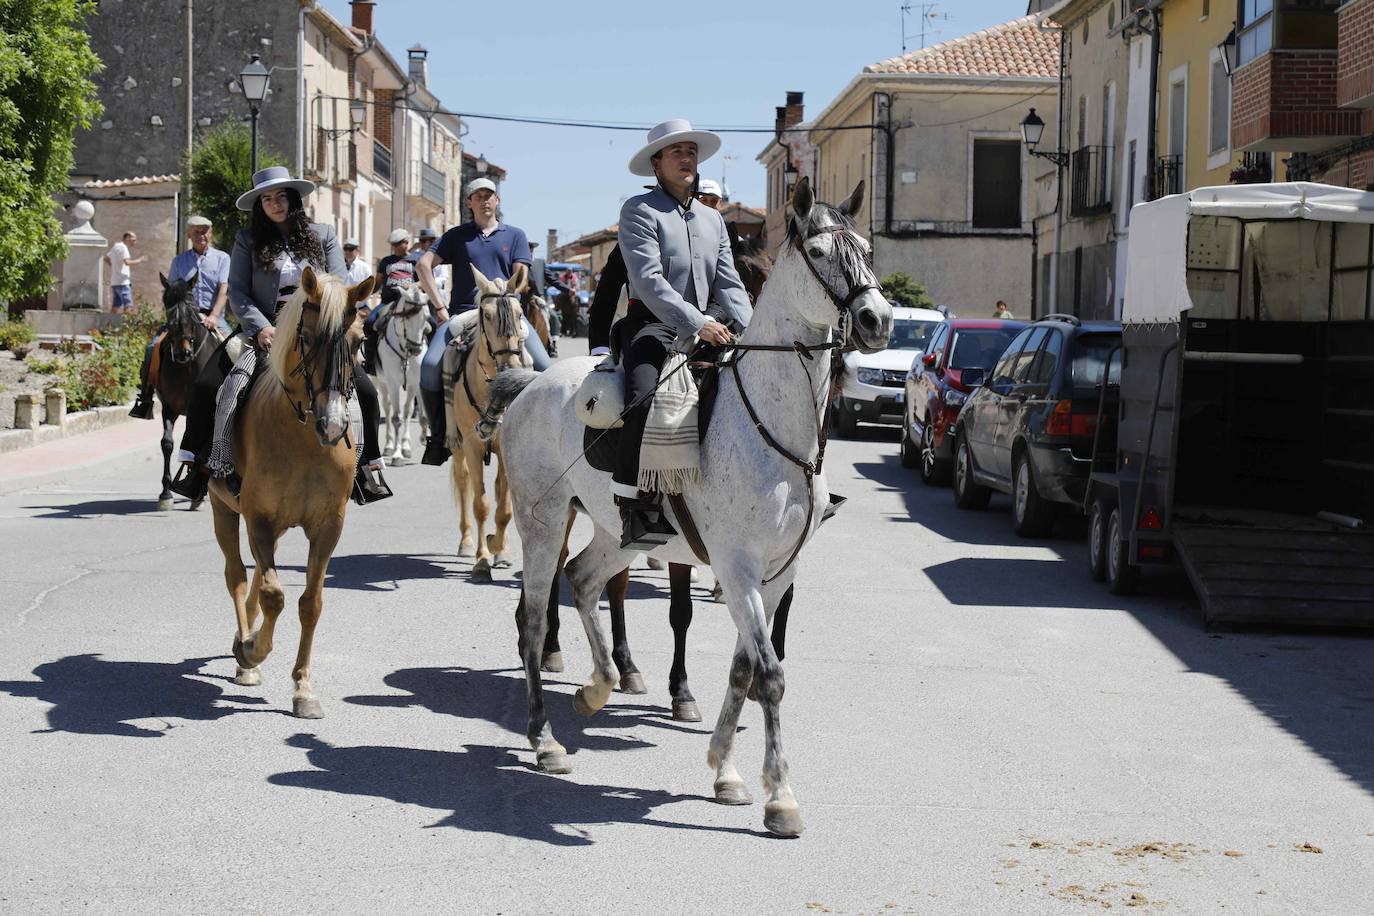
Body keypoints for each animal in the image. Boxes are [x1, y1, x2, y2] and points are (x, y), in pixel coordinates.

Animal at [154, 271, 218, 516]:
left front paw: (198, 494)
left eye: (191, 308)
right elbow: (167, 443)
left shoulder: (195, 409)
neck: (185, 367)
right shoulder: (168, 407)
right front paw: (165, 493)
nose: (183, 352)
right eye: (168, 307)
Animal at [207, 265, 376, 714]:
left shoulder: (328, 526)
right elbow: (273, 595)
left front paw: (303, 687)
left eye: (359, 341)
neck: (301, 440)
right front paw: (252, 651)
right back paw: (245, 654)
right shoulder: (258, 519)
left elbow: (309, 603)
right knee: (237, 576)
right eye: (310, 337)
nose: (333, 426)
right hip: (222, 508)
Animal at [373, 282, 425, 461]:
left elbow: (407, 412)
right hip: (381, 382)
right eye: (406, 318)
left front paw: (406, 447)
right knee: (388, 409)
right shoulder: (393, 383)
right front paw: (397, 454)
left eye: (425, 319)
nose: (416, 349)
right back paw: (389, 446)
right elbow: (396, 418)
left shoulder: (414, 382)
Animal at [447, 265, 527, 579]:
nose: (510, 366)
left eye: (519, 313)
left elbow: (503, 508)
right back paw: (466, 542)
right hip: (458, 447)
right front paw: (481, 560)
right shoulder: (471, 444)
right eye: (489, 315)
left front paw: (499, 550)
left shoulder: (505, 448)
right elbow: (480, 504)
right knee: (463, 481)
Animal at [483, 181, 890, 840]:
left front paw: (725, 772)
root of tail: (531, 385)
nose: (880, 320)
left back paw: (599, 687)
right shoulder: (737, 566)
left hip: (617, 534)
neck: (773, 428)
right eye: (820, 252)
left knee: (584, 581)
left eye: (869, 250)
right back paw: (546, 740)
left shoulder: (778, 574)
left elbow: (744, 669)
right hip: (542, 523)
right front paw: (781, 798)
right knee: (535, 621)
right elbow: (770, 674)